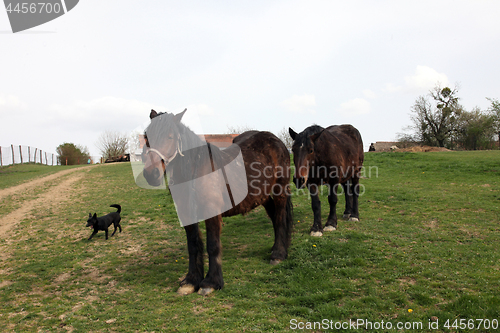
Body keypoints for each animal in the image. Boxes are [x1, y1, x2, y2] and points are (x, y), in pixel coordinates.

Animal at [142, 109, 292, 296]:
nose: (151, 173)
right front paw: (190, 281)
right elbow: (193, 245)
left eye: (170, 136)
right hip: (262, 195)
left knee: (280, 217)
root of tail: (276, 140)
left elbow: (212, 245)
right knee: (274, 215)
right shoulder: (187, 215)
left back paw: (278, 254)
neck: (196, 170)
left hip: (280, 190)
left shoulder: (211, 212)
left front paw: (211, 283)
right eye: (146, 137)